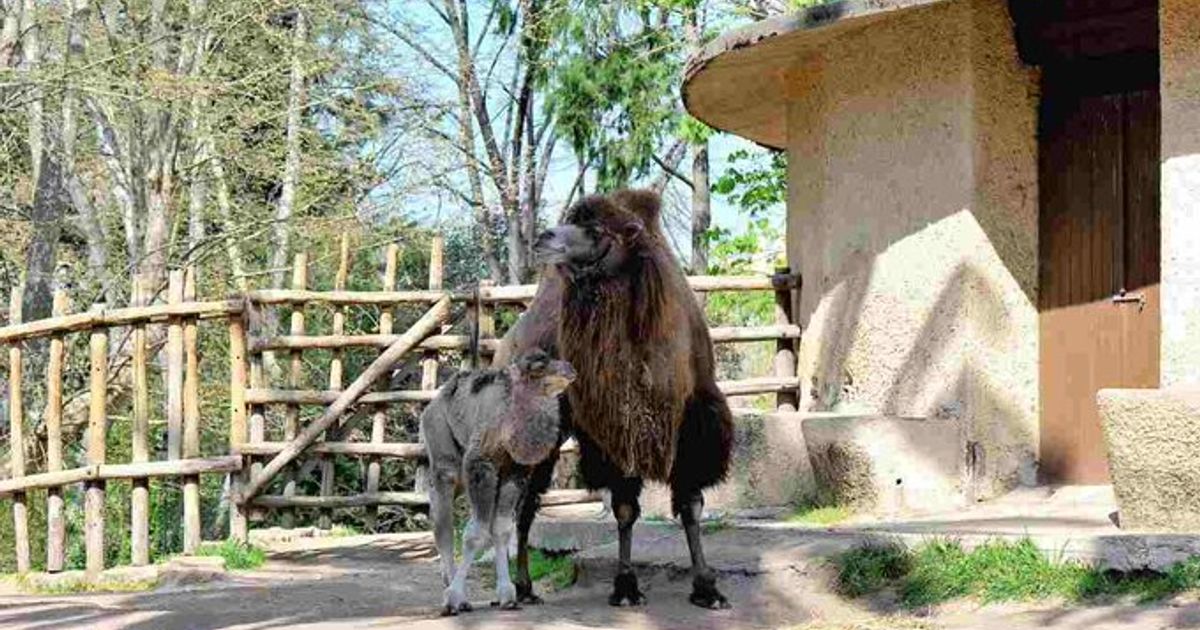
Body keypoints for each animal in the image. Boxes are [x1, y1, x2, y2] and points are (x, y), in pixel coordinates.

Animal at [420, 348, 573, 614]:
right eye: (539, 366)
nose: (570, 369)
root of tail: (430, 405)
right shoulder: (481, 464)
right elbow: (475, 533)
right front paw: (455, 597)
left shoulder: (515, 472)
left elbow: (501, 529)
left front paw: (507, 596)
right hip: (443, 451)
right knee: (444, 522)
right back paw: (454, 595)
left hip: (462, 476)